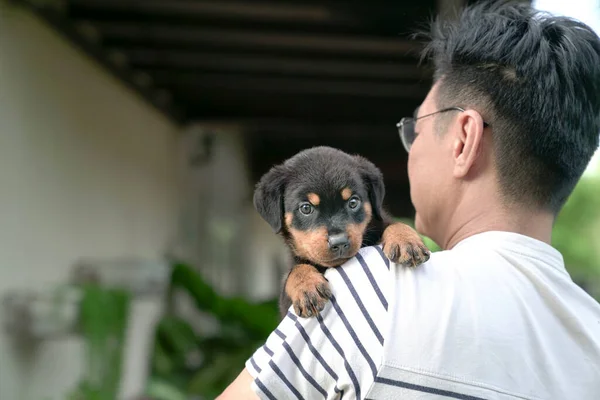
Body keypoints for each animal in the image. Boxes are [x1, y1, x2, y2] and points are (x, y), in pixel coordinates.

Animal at [254, 146, 432, 318]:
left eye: (353, 202)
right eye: (306, 208)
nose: (339, 242)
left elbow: (395, 224)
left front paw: (406, 242)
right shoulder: (285, 305)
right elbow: (294, 271)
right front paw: (307, 288)